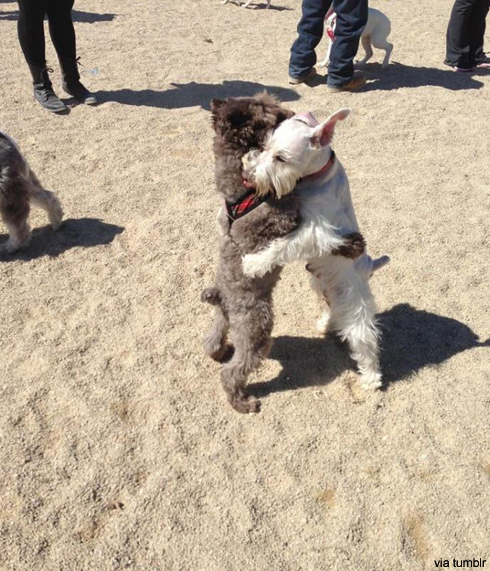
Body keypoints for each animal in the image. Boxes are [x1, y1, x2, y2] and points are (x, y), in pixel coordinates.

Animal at [241, 110, 390, 392]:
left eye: (281, 158)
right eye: (265, 146)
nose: (248, 175)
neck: (317, 177)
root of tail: (369, 268)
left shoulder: (316, 233)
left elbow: (282, 245)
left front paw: (254, 264)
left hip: (355, 307)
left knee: (365, 341)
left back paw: (371, 379)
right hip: (320, 283)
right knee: (331, 308)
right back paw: (325, 323)